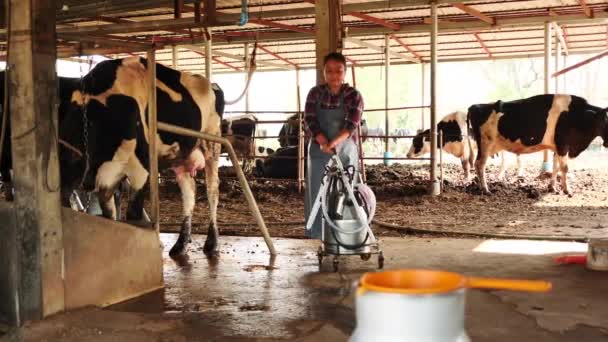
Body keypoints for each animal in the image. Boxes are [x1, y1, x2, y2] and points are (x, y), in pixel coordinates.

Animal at [58, 57, 226, 256]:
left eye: (73, 154)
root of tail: (210, 83)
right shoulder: (108, 177)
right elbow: (109, 216)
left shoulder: (142, 170)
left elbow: (133, 215)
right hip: (180, 156)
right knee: (189, 192)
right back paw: (181, 244)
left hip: (212, 143)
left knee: (212, 191)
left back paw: (212, 243)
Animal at [468, 95, 604, 194]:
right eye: (605, 120)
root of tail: (475, 106)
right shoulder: (563, 145)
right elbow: (564, 168)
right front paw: (567, 190)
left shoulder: (558, 147)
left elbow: (556, 167)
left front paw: (552, 187)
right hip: (485, 144)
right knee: (480, 164)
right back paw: (485, 189)